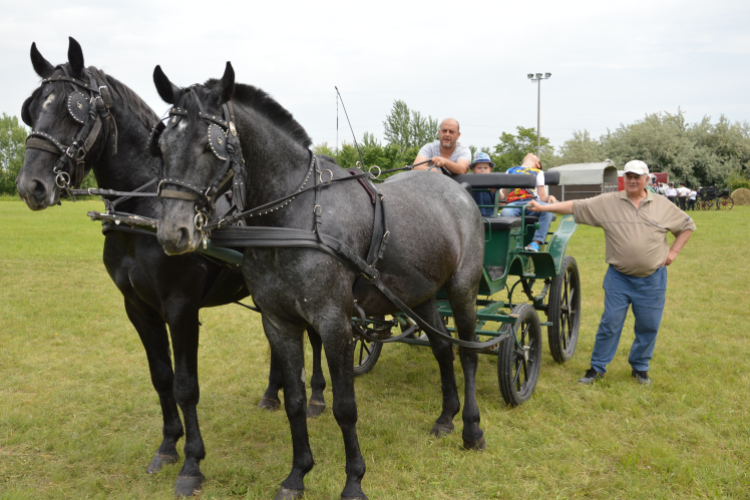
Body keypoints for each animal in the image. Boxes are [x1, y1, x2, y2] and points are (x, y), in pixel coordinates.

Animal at [14, 38, 328, 496]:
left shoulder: (180, 307)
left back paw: (319, 396)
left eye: (76, 110)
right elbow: (161, 377)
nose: (30, 186)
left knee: (315, 337)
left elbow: (185, 385)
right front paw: (166, 447)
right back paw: (272, 393)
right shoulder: (137, 307)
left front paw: (192, 464)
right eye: (33, 108)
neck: (145, 212)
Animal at [153, 62, 488, 500]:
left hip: (462, 288)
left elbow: (345, 407)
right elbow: (294, 400)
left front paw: (354, 481)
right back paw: (446, 417)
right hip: (421, 295)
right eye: (161, 146)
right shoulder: (279, 322)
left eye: (212, 148)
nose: (172, 232)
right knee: (442, 348)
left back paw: (471, 429)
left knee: (467, 354)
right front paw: (297, 474)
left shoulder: (334, 321)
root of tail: (454, 188)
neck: (293, 216)